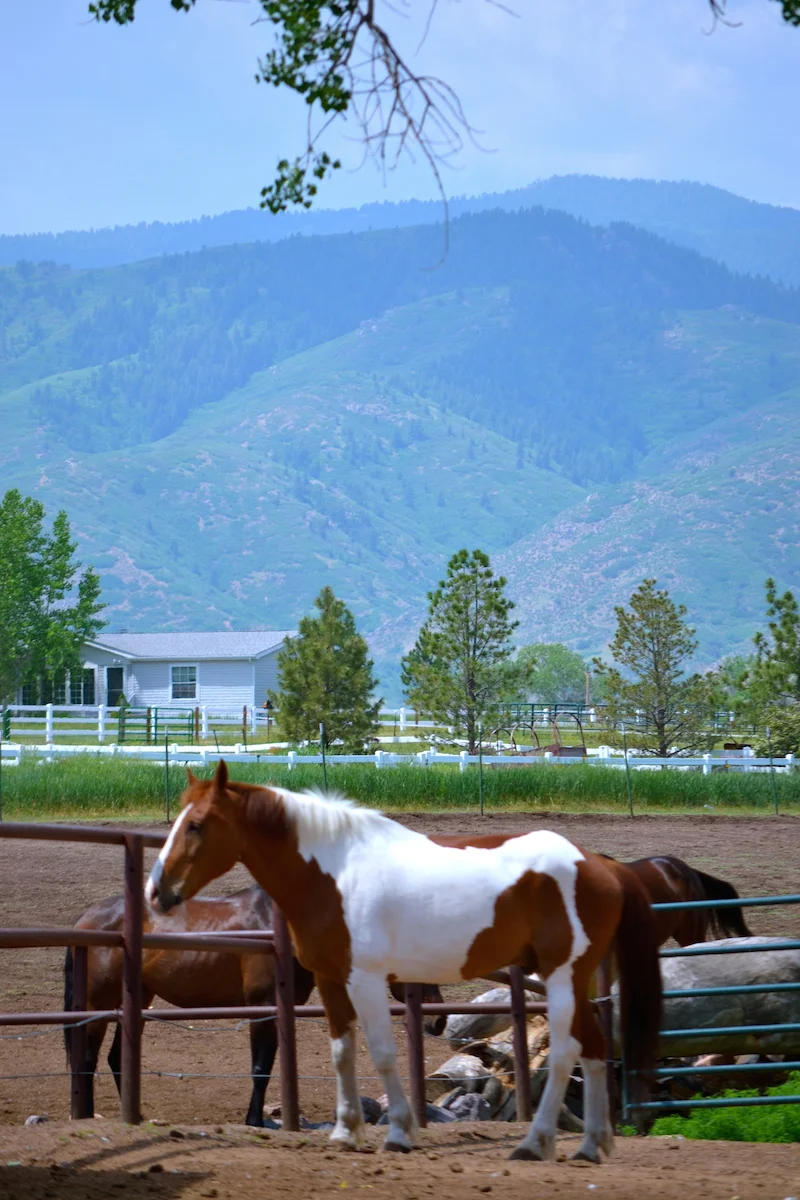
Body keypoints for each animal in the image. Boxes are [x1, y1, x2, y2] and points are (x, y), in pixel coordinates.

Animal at [65, 885, 446, 1126]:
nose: (439, 1020)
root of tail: (86, 918)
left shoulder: (278, 1010)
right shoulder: (262, 1008)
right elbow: (260, 1067)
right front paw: (254, 1121)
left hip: (137, 1000)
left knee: (116, 1058)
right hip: (98, 1005)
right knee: (87, 1058)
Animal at [145, 762, 662, 1163]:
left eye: (197, 824)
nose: (156, 891)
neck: (336, 873)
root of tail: (600, 864)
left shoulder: (367, 980)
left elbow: (382, 1053)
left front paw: (397, 1134)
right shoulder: (332, 980)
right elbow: (342, 1052)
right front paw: (345, 1132)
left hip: (560, 978)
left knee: (565, 1052)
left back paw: (534, 1144)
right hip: (573, 982)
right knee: (593, 1048)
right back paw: (591, 1146)